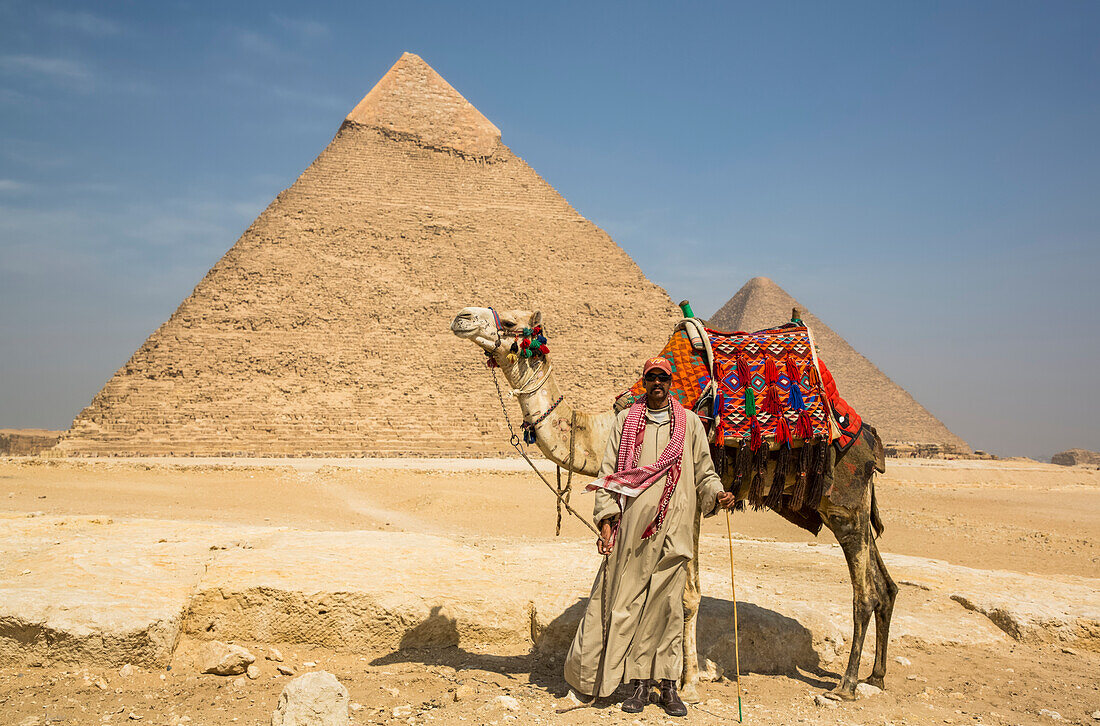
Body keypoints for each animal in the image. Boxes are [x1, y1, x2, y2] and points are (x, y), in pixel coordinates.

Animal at [451, 305, 897, 699]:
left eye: (510, 321)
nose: (461, 317)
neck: (600, 429)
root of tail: (868, 437)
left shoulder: (694, 499)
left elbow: (688, 595)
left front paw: (689, 683)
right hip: (845, 504)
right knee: (886, 586)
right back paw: (876, 677)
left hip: (843, 502)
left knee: (865, 593)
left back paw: (846, 685)